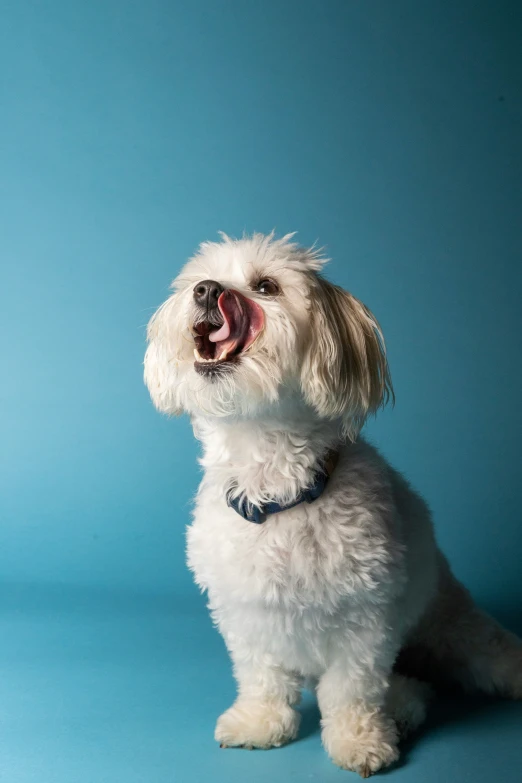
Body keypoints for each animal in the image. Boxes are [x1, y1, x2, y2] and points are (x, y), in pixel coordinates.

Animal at [143, 230, 520, 776]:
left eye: (266, 286)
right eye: (199, 280)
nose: (208, 291)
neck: (277, 488)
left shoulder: (364, 619)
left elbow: (352, 689)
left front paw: (358, 740)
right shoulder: (245, 609)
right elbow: (260, 673)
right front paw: (260, 721)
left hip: (454, 626)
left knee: (477, 655)